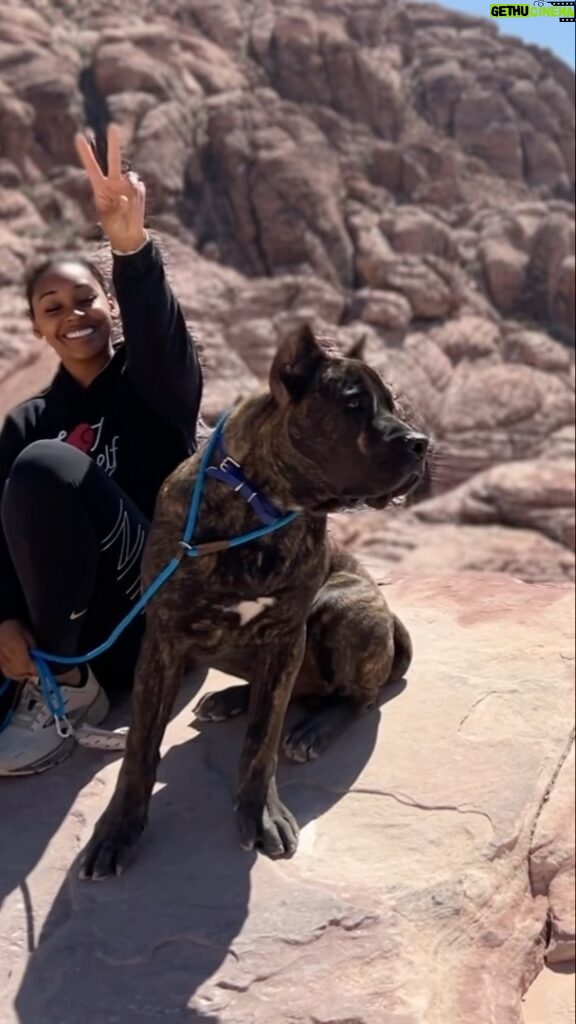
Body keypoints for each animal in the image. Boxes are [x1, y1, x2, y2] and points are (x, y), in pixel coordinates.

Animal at [78, 325, 424, 880]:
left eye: (392, 404)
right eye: (353, 404)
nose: (420, 442)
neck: (260, 504)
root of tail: (393, 625)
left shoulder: (285, 636)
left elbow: (262, 741)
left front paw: (259, 813)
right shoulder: (164, 640)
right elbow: (139, 748)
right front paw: (117, 832)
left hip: (341, 605)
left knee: (355, 696)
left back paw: (315, 728)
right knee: (294, 690)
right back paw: (232, 698)